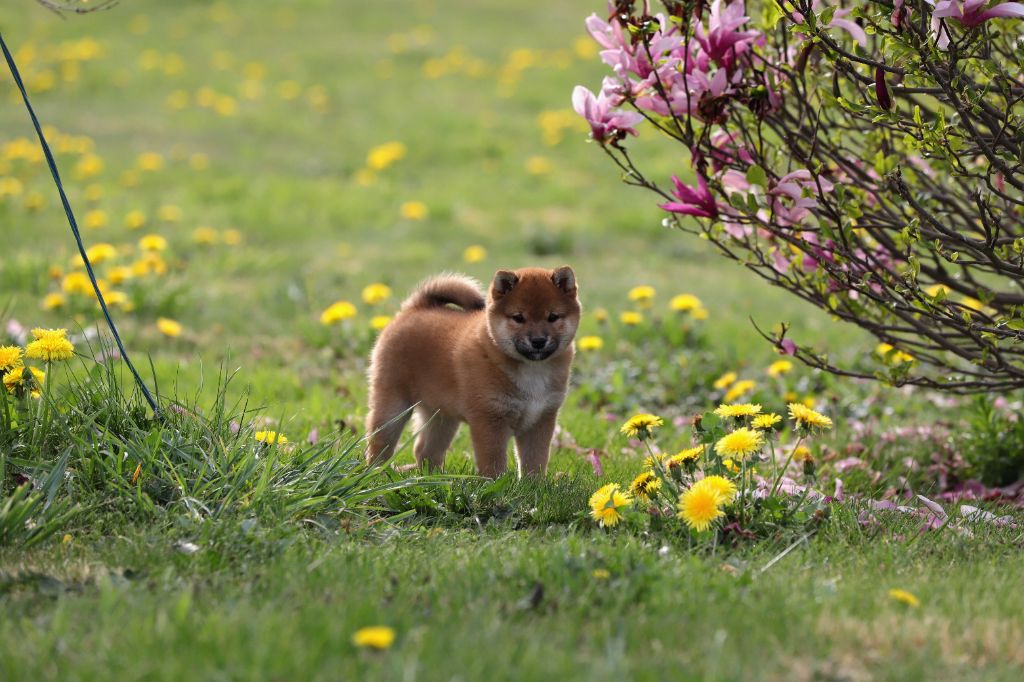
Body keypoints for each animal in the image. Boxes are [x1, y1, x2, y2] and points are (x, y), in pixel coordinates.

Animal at [365, 266, 580, 477]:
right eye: (518, 318)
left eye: (552, 317)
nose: (538, 341)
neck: (532, 370)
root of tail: (415, 308)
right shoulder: (489, 419)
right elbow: (493, 463)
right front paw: (495, 484)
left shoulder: (541, 419)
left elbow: (535, 462)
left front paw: (533, 485)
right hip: (394, 407)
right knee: (379, 444)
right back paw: (378, 473)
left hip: (442, 417)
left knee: (424, 450)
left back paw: (435, 477)